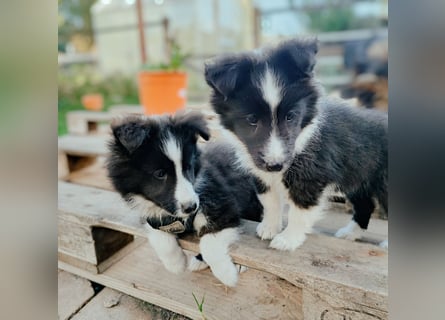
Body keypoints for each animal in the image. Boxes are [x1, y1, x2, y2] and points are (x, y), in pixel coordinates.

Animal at [106, 111, 262, 286]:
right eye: (160, 173)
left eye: (188, 167)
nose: (191, 207)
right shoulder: (154, 217)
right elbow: (159, 236)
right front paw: (176, 265)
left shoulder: (223, 206)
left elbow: (209, 242)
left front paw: (227, 275)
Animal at [204, 38, 386, 250]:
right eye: (252, 119)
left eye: (290, 116)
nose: (275, 166)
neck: (302, 136)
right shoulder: (261, 173)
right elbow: (270, 201)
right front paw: (269, 228)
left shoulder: (310, 175)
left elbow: (299, 209)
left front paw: (288, 239)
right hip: (358, 178)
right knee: (365, 205)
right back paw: (351, 233)